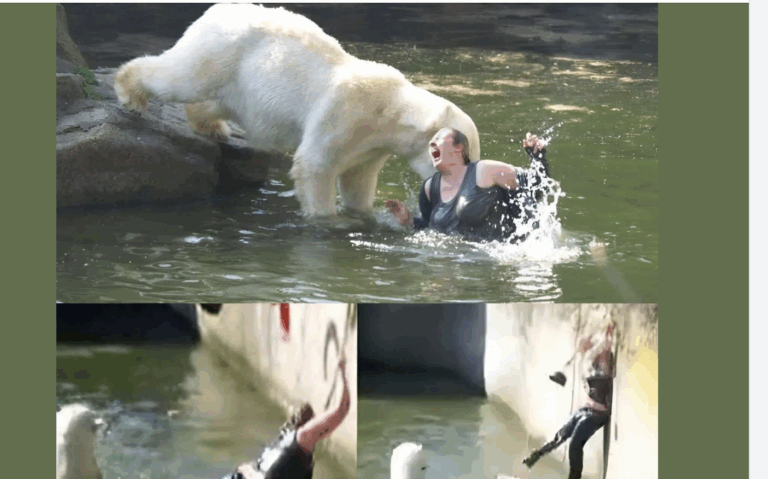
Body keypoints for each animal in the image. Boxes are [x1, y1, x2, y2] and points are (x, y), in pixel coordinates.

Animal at [114, 3, 481, 218]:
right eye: (465, 156)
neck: (389, 109)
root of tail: (215, 9)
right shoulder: (345, 113)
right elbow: (316, 165)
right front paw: (326, 221)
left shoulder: (370, 147)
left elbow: (357, 179)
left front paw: (362, 215)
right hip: (222, 49)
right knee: (180, 76)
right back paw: (130, 93)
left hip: (239, 80)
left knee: (214, 99)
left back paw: (211, 126)